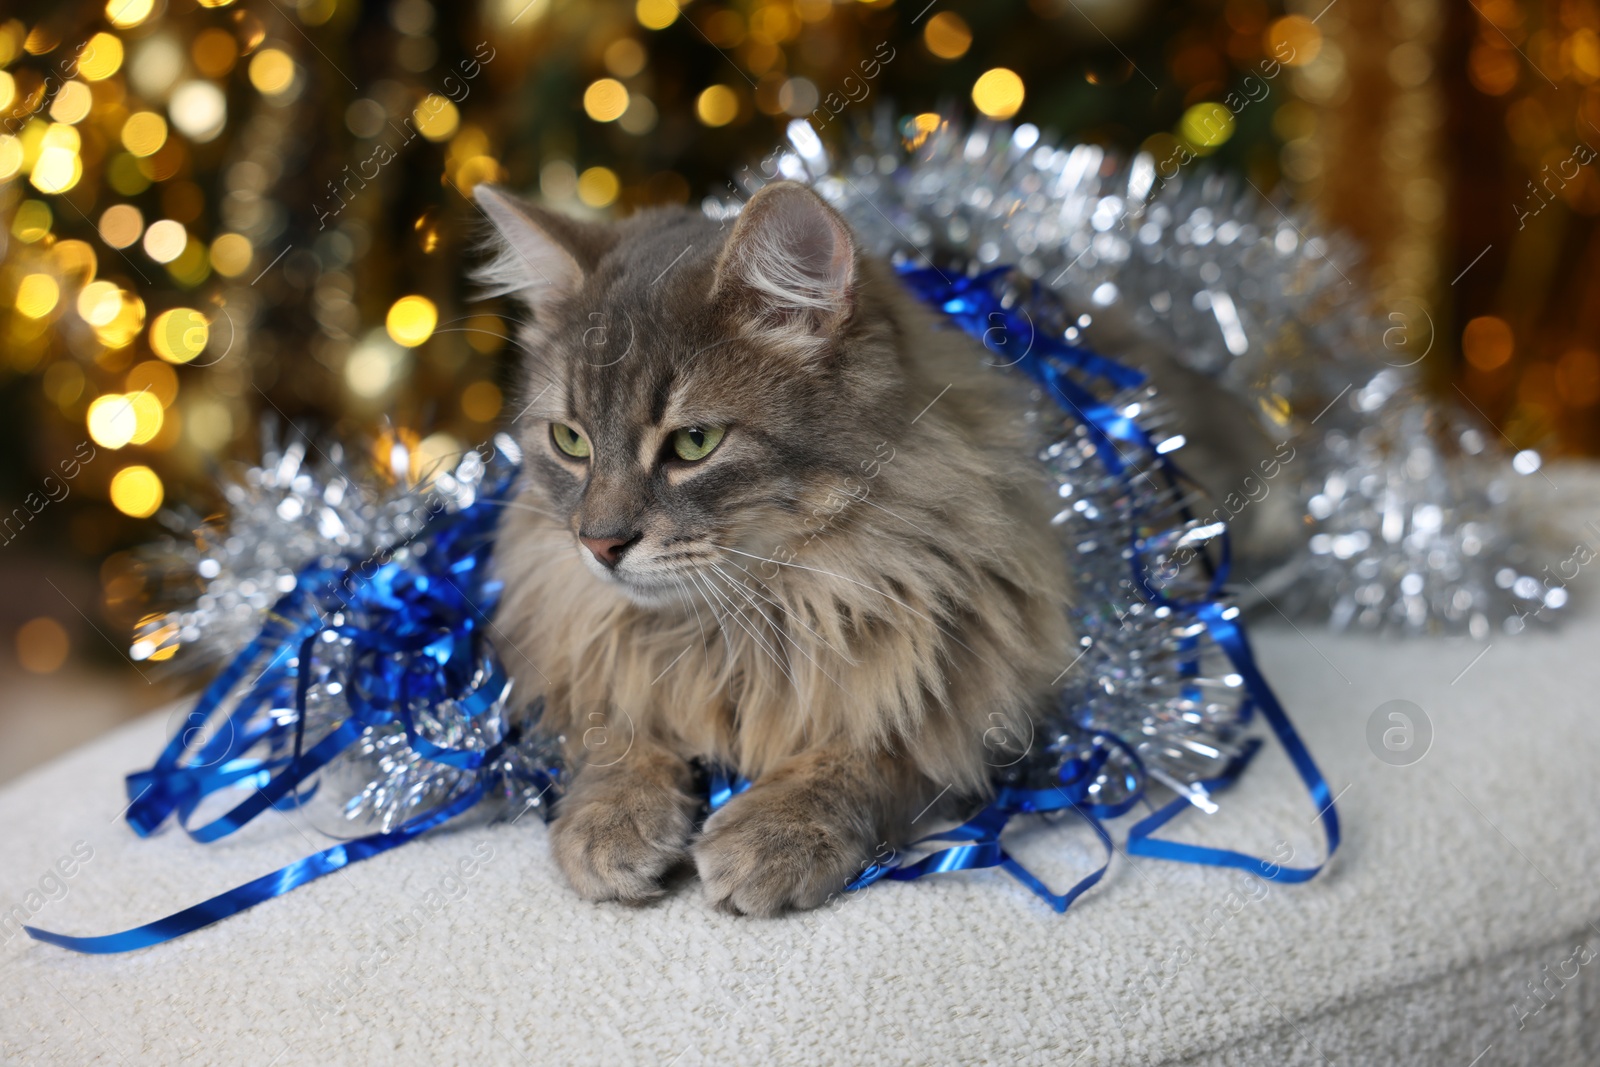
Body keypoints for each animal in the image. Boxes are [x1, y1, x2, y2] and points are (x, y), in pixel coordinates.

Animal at [473, 179, 1075, 915]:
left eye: (694, 443)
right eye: (570, 441)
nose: (599, 543)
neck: (743, 620)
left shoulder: (966, 691)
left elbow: (866, 752)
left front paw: (774, 833)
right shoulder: (586, 660)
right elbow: (617, 731)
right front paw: (610, 819)